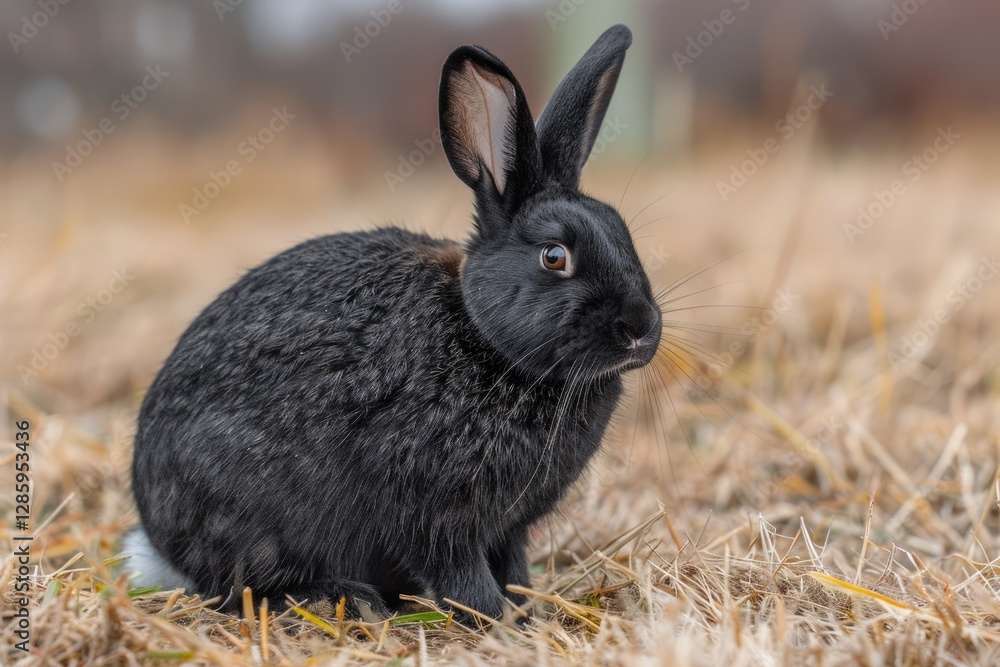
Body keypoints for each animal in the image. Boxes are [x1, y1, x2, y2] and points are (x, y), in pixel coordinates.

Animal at [126, 23, 661, 620]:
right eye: (554, 256)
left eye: (624, 234)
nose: (641, 329)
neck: (484, 339)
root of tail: (158, 540)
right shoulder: (439, 515)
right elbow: (459, 572)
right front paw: (497, 619)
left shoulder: (508, 528)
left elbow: (513, 565)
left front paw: (527, 609)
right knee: (246, 586)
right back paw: (343, 598)